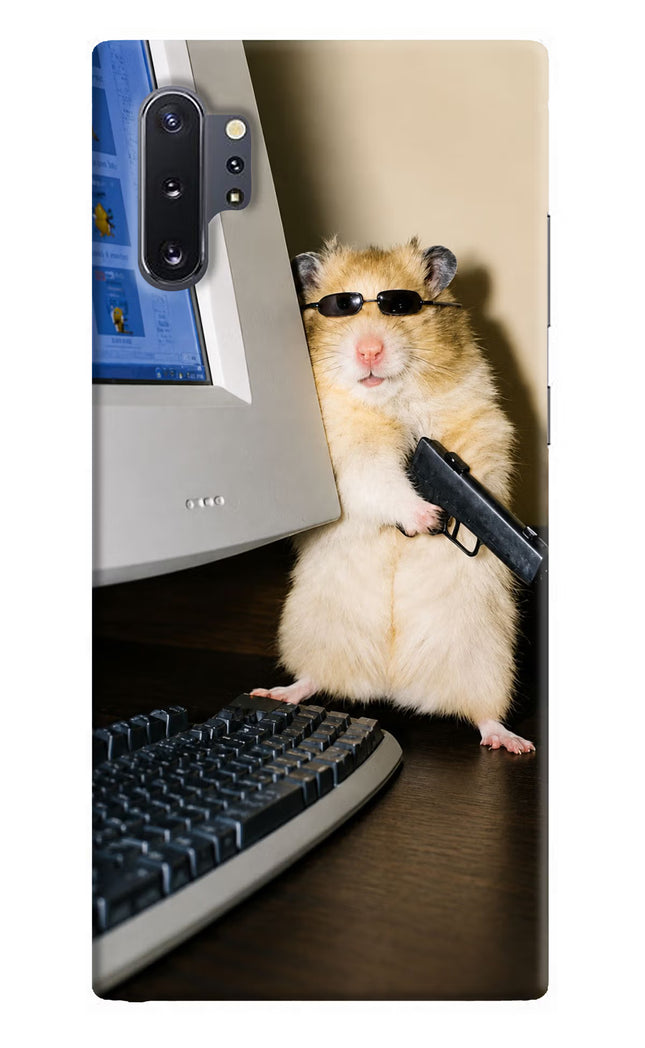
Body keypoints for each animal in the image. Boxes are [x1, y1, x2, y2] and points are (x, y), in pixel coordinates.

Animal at [252, 237, 534, 754]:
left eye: (401, 306)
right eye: (340, 307)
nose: (369, 351)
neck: (389, 401)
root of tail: (393, 686)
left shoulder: (481, 424)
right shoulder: (348, 458)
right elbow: (380, 481)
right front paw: (428, 518)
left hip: (487, 660)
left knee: (483, 714)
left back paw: (512, 742)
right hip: (311, 632)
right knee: (313, 678)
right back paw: (276, 692)